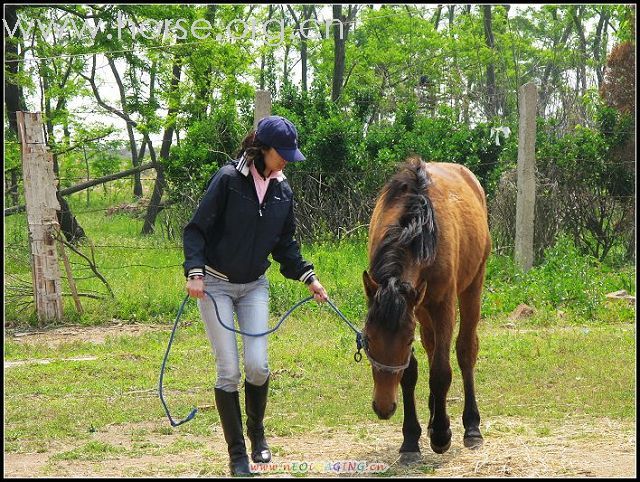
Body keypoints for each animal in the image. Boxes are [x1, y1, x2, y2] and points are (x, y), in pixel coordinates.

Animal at [362, 157, 492, 456]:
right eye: (368, 339)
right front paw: (411, 438)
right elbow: (411, 372)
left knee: (465, 350)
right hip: (422, 308)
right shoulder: (415, 307)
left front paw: (442, 435)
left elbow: (441, 372)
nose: (383, 407)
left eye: (407, 340)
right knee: (433, 347)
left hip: (472, 288)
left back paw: (471, 427)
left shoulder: (444, 306)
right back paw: (433, 418)